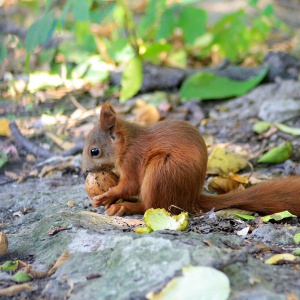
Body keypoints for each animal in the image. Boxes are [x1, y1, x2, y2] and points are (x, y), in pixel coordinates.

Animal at [82, 104, 300, 217]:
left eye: (94, 151)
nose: (84, 170)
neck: (127, 143)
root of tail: (192, 199)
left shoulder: (133, 159)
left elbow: (132, 184)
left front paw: (107, 196)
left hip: (161, 171)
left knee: (152, 206)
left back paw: (126, 206)